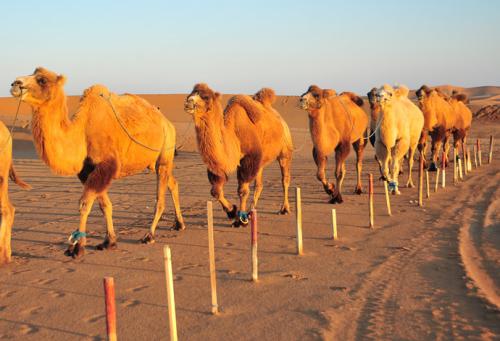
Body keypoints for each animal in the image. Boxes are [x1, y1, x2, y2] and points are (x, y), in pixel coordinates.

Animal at [9, 67, 186, 256]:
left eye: (41, 79)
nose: (15, 83)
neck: (81, 133)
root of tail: (167, 123)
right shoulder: (88, 171)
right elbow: (104, 205)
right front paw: (109, 241)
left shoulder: (105, 165)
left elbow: (84, 204)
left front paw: (77, 247)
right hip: (152, 162)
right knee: (173, 182)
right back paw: (179, 224)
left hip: (165, 150)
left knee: (159, 198)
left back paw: (149, 235)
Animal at [184, 83, 292, 226]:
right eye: (190, 94)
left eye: (206, 97)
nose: (188, 102)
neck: (233, 135)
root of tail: (281, 120)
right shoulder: (220, 165)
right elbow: (215, 191)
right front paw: (231, 211)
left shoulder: (248, 158)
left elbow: (242, 190)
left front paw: (240, 220)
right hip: (261, 161)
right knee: (259, 185)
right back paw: (251, 212)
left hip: (285, 151)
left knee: (285, 179)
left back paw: (284, 209)